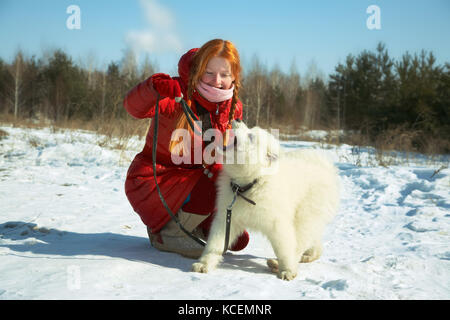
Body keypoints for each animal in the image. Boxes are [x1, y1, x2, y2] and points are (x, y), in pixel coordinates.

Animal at [192, 120, 340, 280]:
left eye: (251, 136)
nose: (237, 120)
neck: (251, 184)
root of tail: (326, 167)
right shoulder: (228, 217)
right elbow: (216, 243)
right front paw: (203, 264)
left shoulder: (278, 223)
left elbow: (285, 248)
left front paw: (287, 271)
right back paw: (307, 256)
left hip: (306, 214)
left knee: (301, 241)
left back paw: (278, 263)